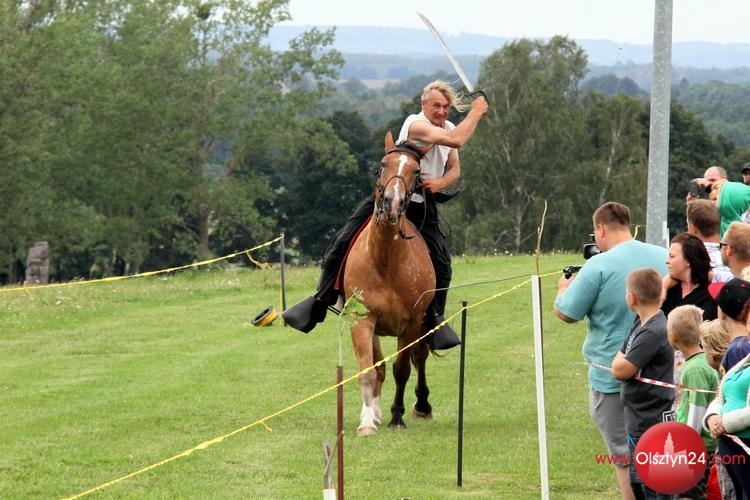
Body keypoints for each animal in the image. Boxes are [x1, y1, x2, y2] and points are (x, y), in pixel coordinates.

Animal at [343, 132, 436, 437]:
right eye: (383, 164)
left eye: (416, 171)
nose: (391, 204)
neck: (385, 261)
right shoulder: (362, 320)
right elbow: (369, 371)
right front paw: (367, 422)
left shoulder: (411, 324)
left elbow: (402, 370)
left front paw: (397, 416)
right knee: (379, 367)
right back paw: (374, 413)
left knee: (419, 358)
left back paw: (422, 406)